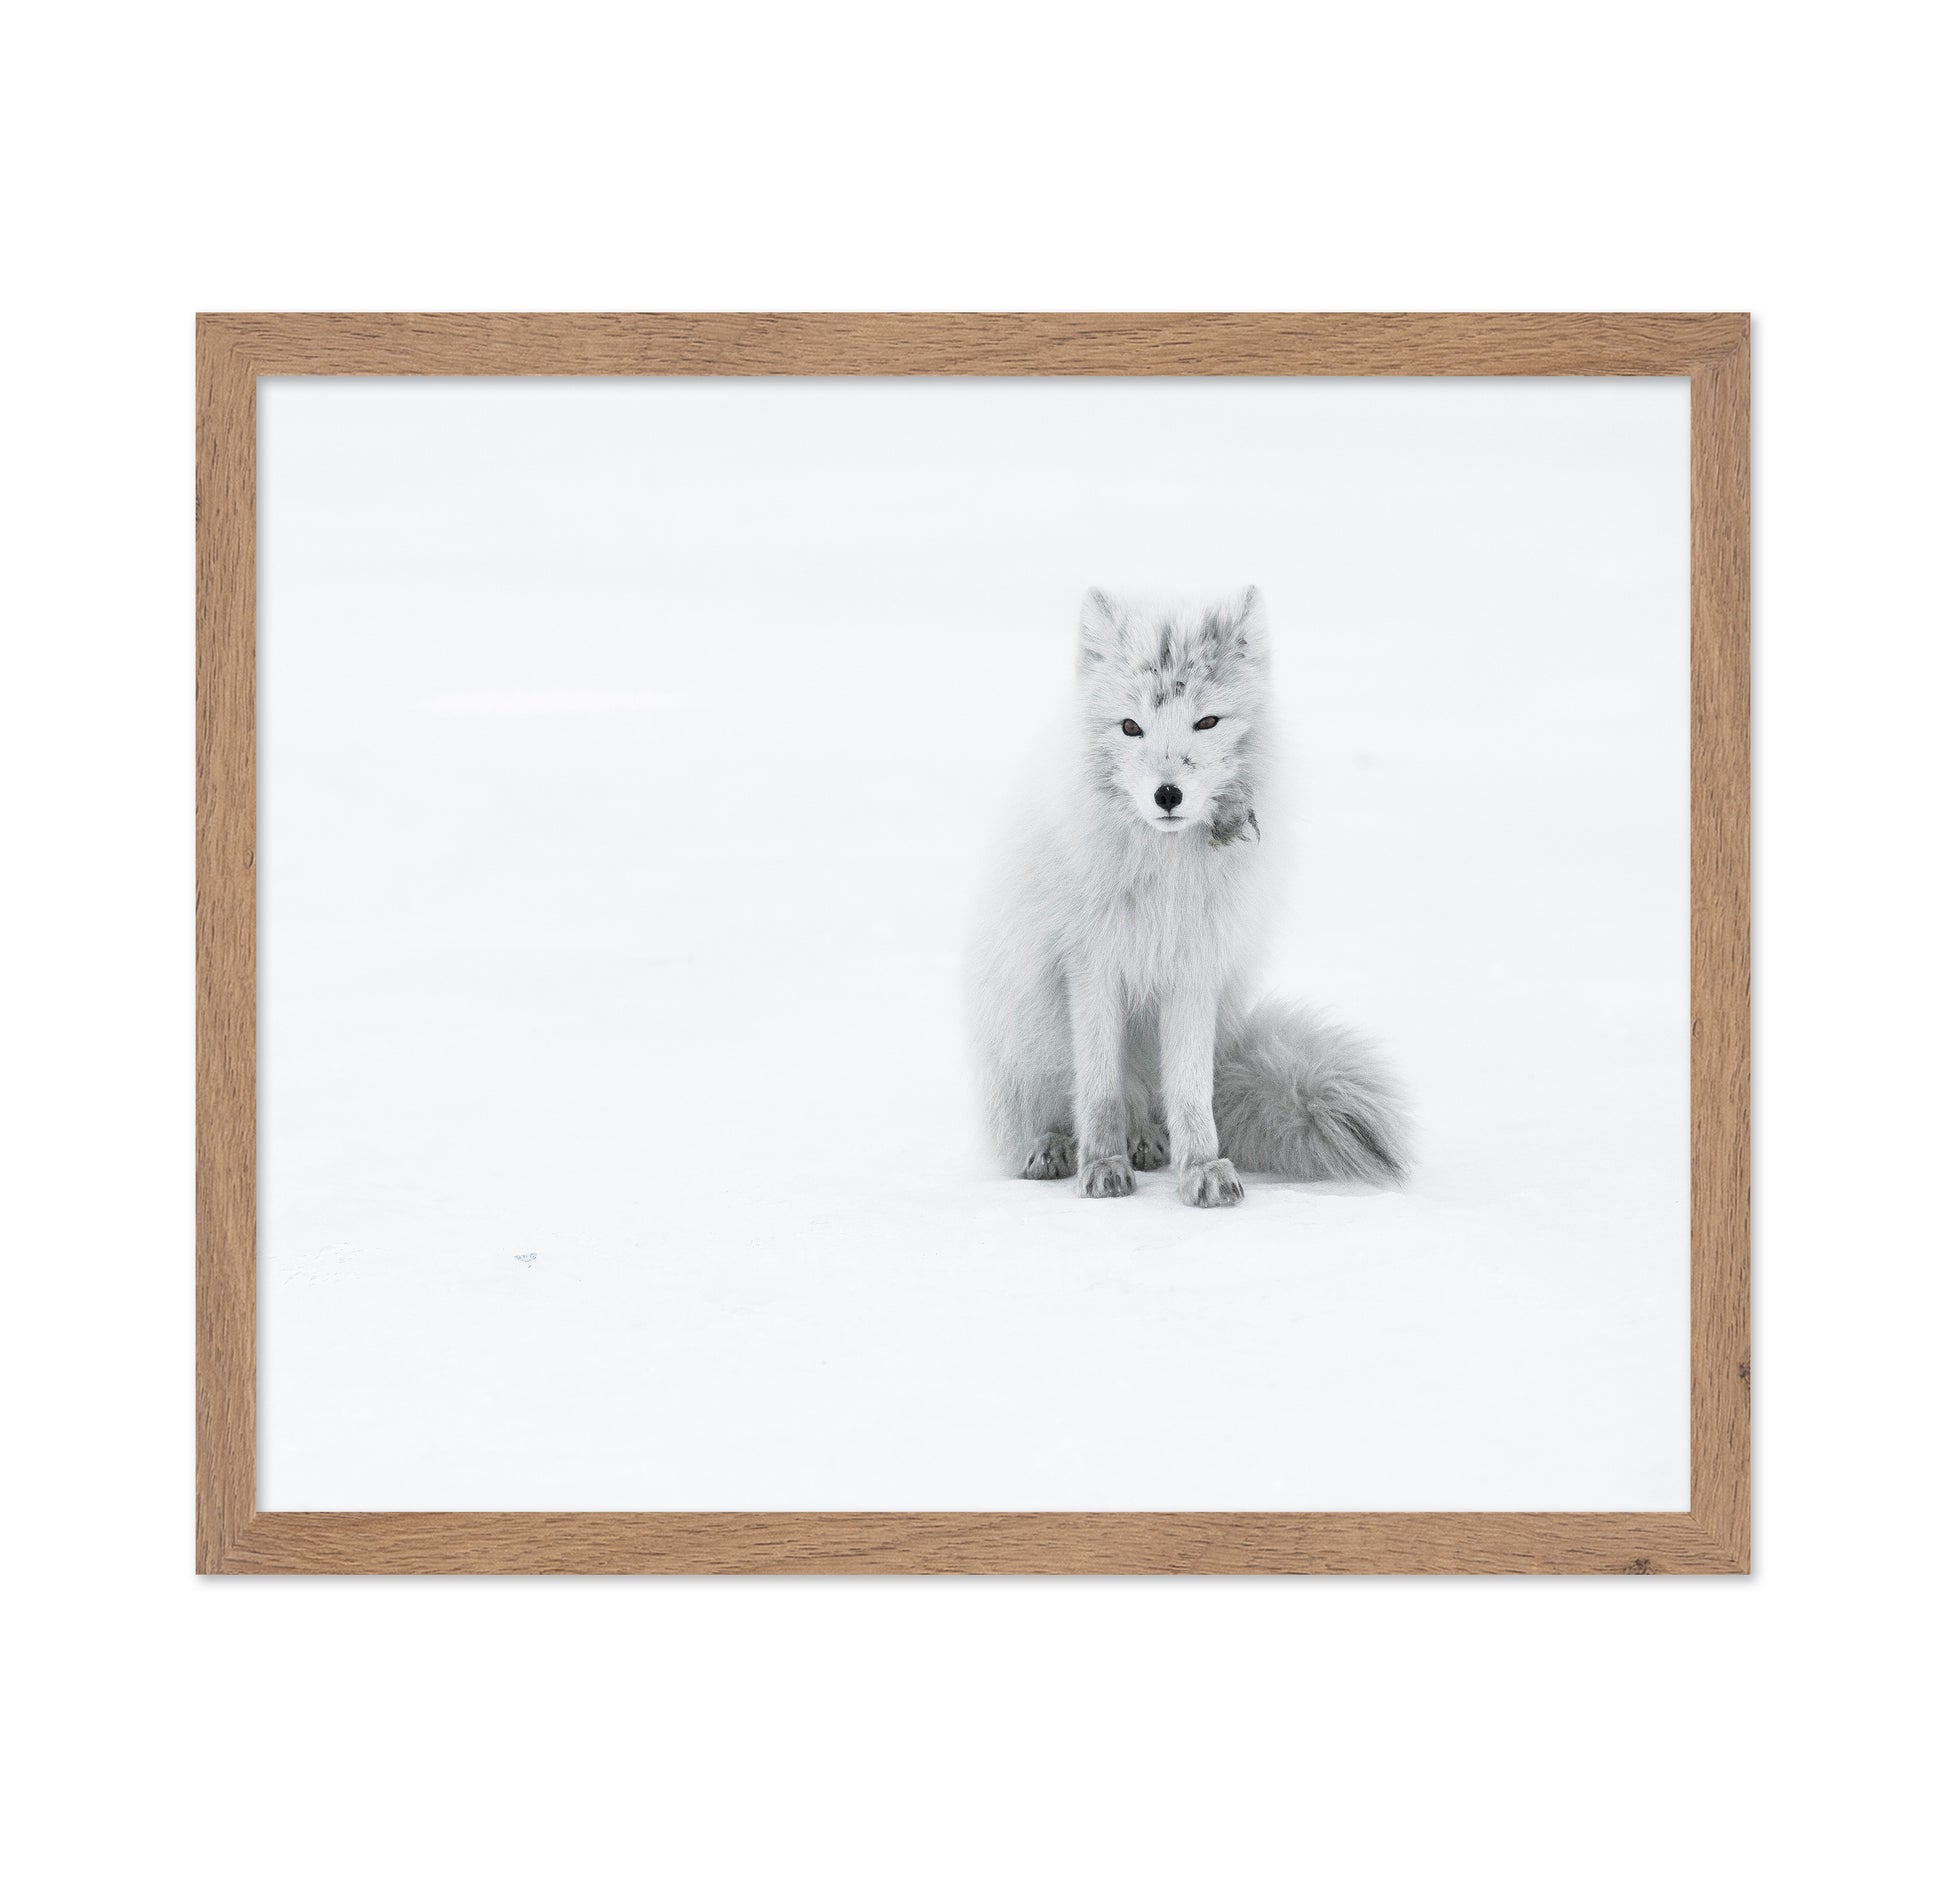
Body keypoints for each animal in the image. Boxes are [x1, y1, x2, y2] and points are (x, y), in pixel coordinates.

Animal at [970, 586, 1408, 1208]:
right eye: (1131, 727)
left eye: (1206, 722)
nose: (1168, 794)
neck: (1164, 877)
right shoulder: (1091, 968)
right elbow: (1097, 1090)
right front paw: (1101, 1166)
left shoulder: (1195, 968)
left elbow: (1192, 1094)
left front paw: (1201, 1167)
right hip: (1023, 1037)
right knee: (1058, 1109)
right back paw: (1054, 1148)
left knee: (1154, 1104)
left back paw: (1148, 1140)